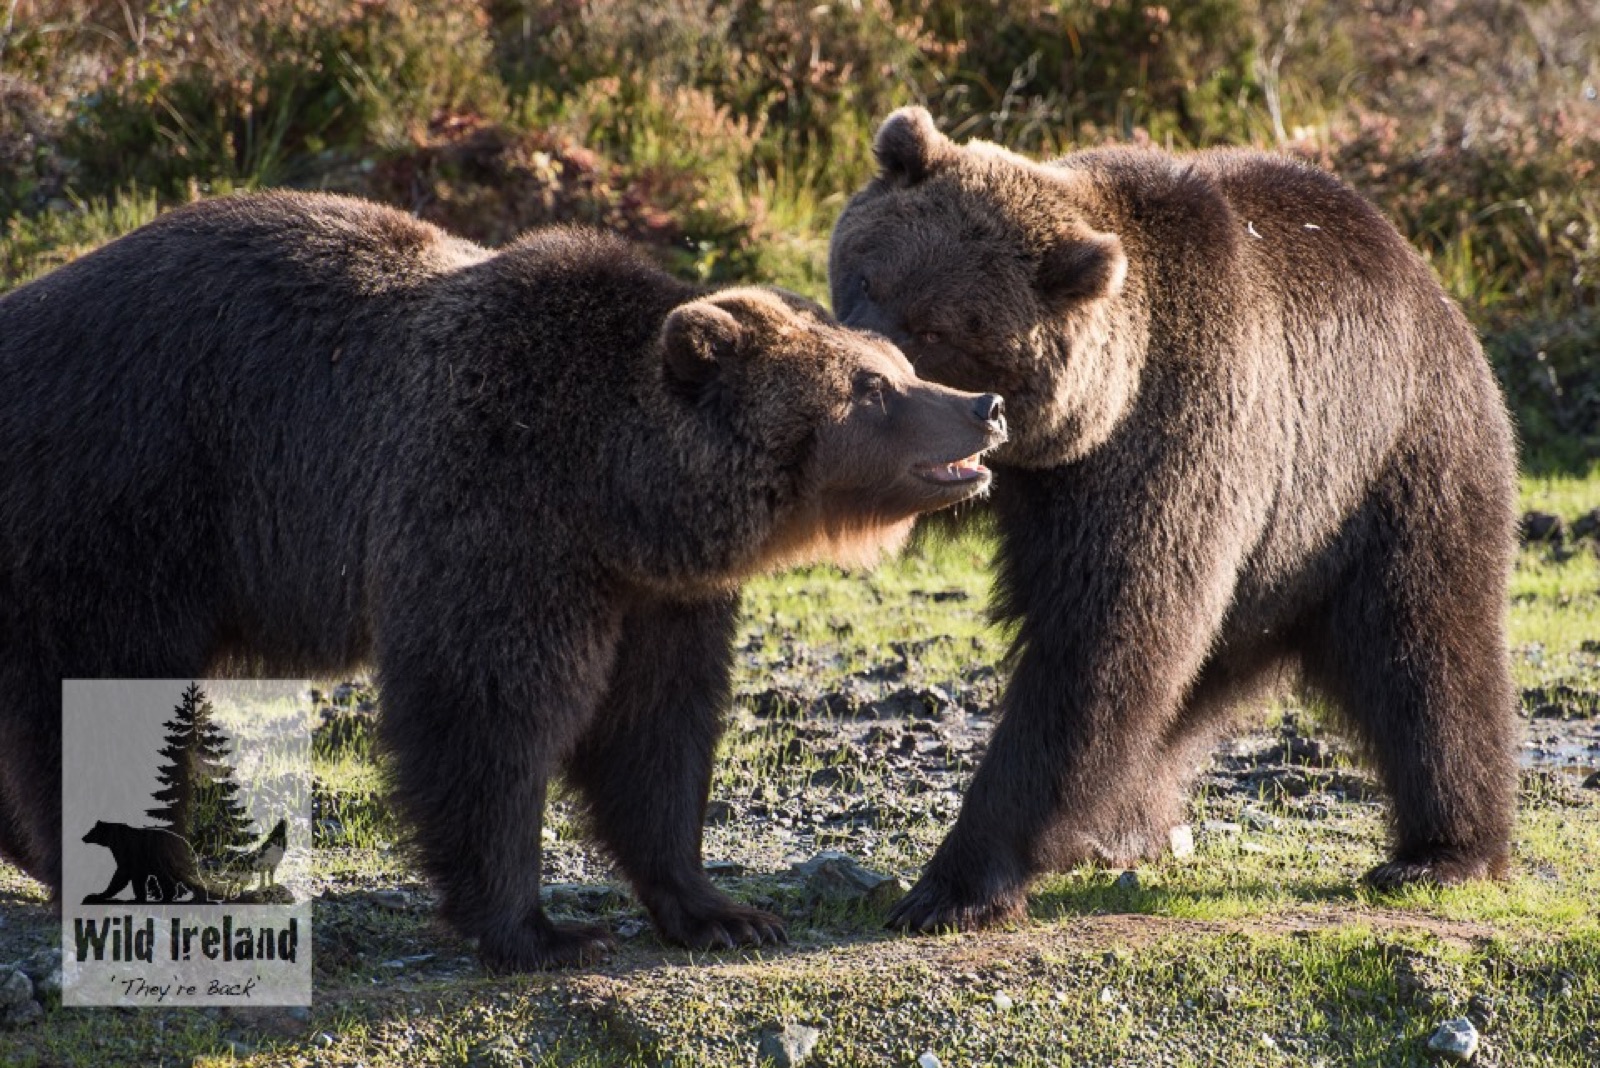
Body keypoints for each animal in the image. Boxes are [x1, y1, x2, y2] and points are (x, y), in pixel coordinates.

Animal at [80, 821, 215, 904]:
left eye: (91, 831)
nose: (83, 837)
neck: (115, 840)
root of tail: (187, 842)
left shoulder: (131, 853)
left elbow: (123, 875)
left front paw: (97, 895)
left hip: (163, 857)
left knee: (174, 876)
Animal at [828, 107, 1519, 932]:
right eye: (865, 277)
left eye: (938, 328)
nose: (862, 376)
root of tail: (1424, 276)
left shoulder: (1166, 452)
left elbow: (1102, 646)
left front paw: (953, 886)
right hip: (1272, 550)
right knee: (1193, 683)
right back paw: (1128, 819)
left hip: (1389, 469)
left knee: (1425, 651)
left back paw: (1441, 851)